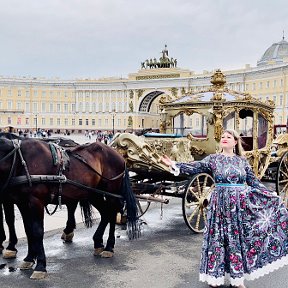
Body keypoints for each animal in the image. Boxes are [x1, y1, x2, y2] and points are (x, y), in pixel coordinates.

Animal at [0, 137, 138, 280]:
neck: (20, 160)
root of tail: (118, 154)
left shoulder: (35, 202)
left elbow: (37, 232)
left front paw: (41, 265)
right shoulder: (22, 203)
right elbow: (29, 231)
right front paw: (29, 258)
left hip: (111, 193)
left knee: (112, 213)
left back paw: (109, 247)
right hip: (93, 193)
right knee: (105, 214)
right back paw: (98, 242)